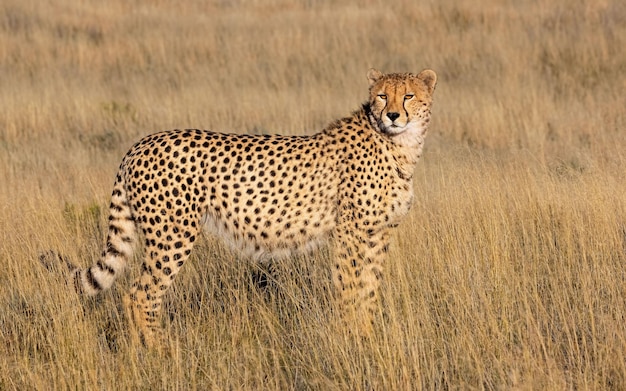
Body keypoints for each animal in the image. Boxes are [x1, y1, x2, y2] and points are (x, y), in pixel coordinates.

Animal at [41, 69, 436, 348]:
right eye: (382, 95)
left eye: (409, 95)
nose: (394, 115)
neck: (399, 146)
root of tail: (141, 143)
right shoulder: (350, 233)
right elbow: (351, 288)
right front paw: (350, 339)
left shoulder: (379, 233)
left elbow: (369, 289)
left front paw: (366, 337)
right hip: (173, 236)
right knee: (141, 295)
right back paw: (159, 351)